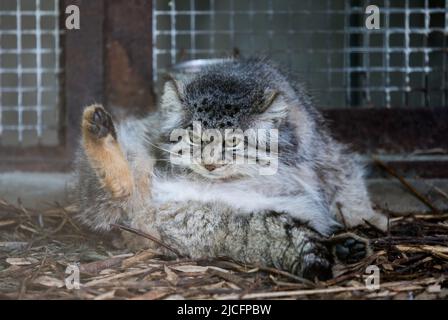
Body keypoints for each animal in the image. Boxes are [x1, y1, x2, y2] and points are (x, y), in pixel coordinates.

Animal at [75, 58, 386, 280]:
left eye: (234, 142)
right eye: (194, 138)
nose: (210, 164)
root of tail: (149, 209)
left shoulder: (325, 151)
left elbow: (346, 179)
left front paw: (367, 215)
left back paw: (345, 249)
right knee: (117, 189)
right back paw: (99, 131)